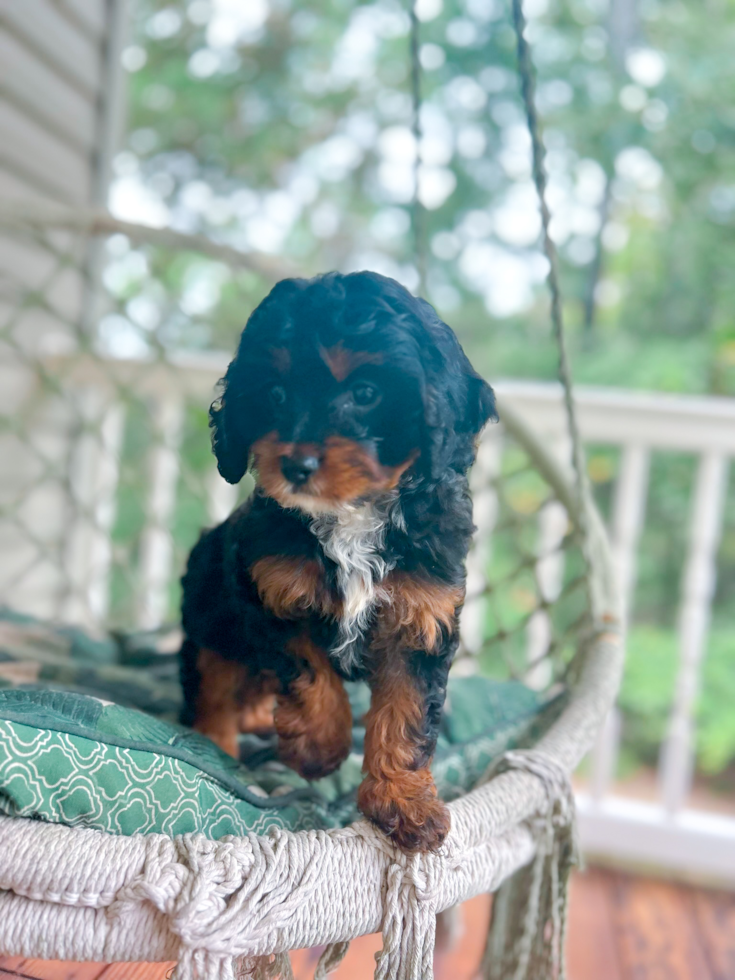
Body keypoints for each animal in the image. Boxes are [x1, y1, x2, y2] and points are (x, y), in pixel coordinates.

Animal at [180, 270, 498, 848]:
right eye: (276, 393)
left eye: (366, 393)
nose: (295, 465)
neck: (352, 515)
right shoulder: (269, 594)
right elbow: (310, 673)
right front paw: (318, 750)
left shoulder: (422, 619)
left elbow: (406, 712)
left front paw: (404, 800)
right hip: (210, 607)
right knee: (213, 676)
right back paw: (216, 737)